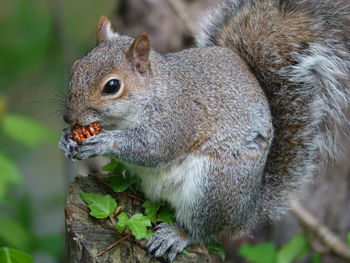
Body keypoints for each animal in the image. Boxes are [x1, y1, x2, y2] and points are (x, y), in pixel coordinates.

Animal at [58, 0, 348, 262]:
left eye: (112, 86)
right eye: (75, 67)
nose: (69, 117)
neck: (153, 92)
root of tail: (247, 211)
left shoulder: (178, 119)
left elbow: (153, 149)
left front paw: (103, 143)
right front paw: (66, 139)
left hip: (213, 187)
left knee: (203, 231)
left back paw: (176, 236)